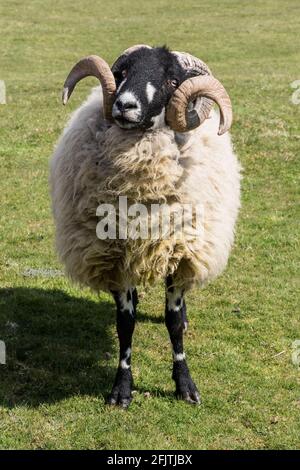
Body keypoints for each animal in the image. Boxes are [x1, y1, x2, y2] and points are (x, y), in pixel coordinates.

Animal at [49, 45, 241, 408]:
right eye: (122, 72)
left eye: (170, 80)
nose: (124, 105)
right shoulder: (115, 257)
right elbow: (125, 323)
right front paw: (121, 389)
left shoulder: (181, 255)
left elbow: (174, 322)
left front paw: (185, 385)